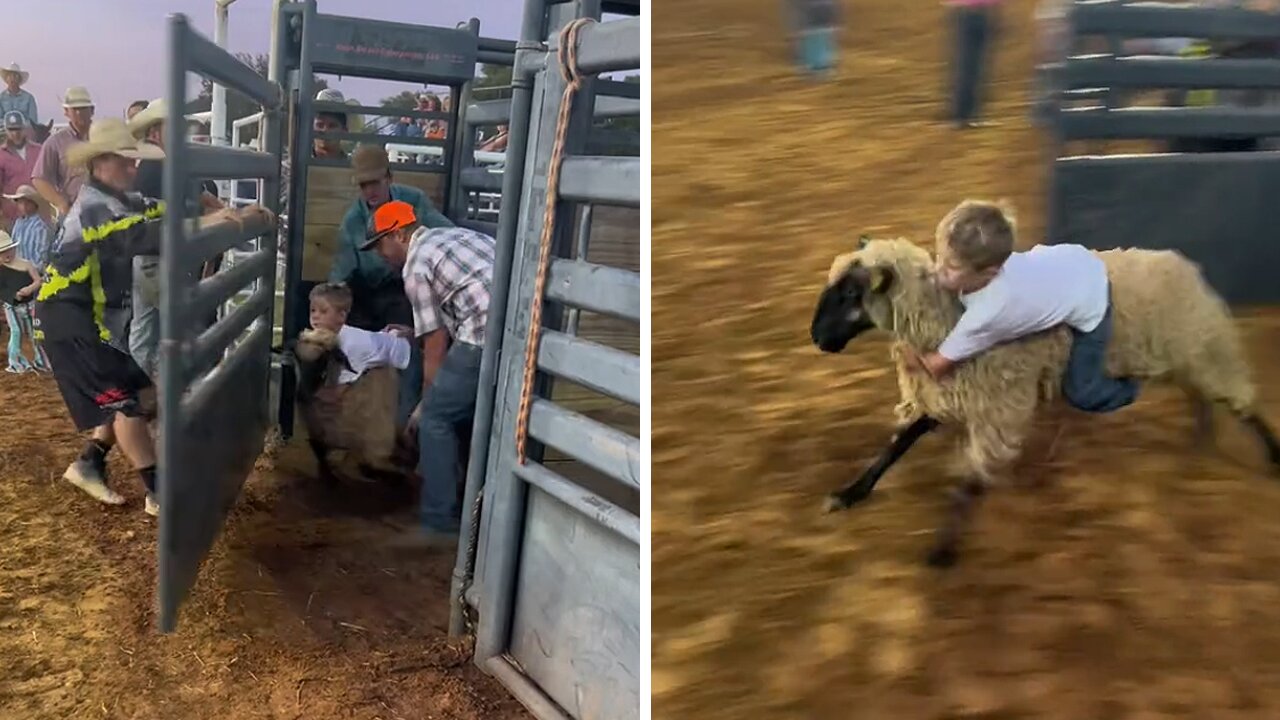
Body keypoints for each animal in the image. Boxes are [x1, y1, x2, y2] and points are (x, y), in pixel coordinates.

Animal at [808, 235, 1280, 566]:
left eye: (850, 295)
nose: (817, 339)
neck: (946, 316)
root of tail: (1183, 265)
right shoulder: (945, 394)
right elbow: (894, 446)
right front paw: (850, 493)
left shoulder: (996, 407)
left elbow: (969, 483)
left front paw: (943, 549)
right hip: (1188, 355)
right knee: (1199, 396)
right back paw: (1200, 438)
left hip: (1203, 347)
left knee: (1240, 401)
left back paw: (1270, 455)